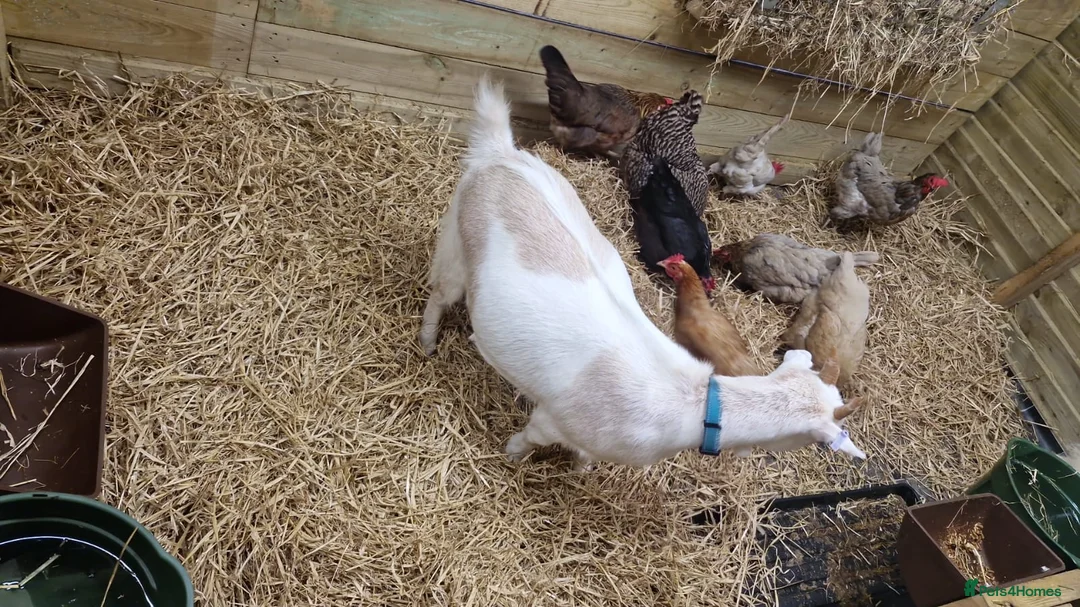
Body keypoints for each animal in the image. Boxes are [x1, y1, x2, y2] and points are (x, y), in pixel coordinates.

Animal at [419, 76, 868, 470]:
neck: (691, 403)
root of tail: (501, 152)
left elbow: (584, 458)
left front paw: (581, 469)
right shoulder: (554, 420)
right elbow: (529, 439)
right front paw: (512, 456)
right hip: (457, 237)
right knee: (440, 292)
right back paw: (427, 342)